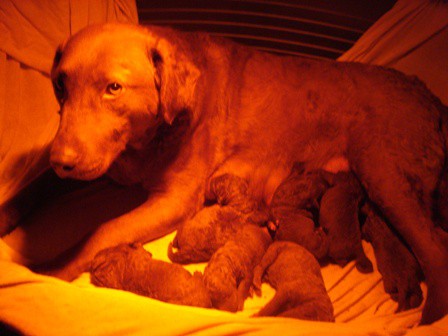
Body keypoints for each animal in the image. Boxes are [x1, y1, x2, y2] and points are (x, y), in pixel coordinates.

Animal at [39, 23, 448, 322]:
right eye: (60, 84)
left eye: (114, 88)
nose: (61, 160)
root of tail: (430, 95)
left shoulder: (175, 200)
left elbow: (103, 230)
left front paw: (50, 270)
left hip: (384, 173)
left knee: (436, 251)